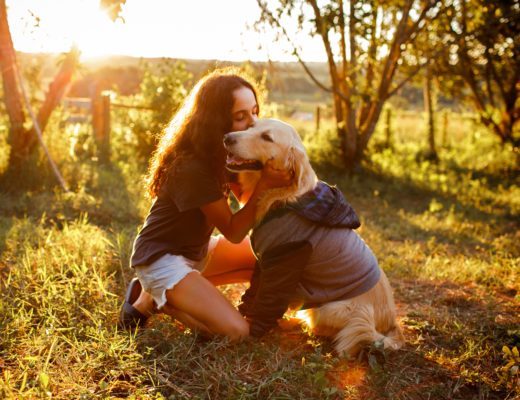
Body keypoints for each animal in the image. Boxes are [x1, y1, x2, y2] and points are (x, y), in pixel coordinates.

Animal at [221, 118, 404, 356]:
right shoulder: (264, 262)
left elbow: (267, 301)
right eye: (251, 126)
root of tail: (391, 323)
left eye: (267, 137)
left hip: (334, 309)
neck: (283, 198)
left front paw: (253, 331)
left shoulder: (286, 257)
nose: (227, 137)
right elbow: (254, 292)